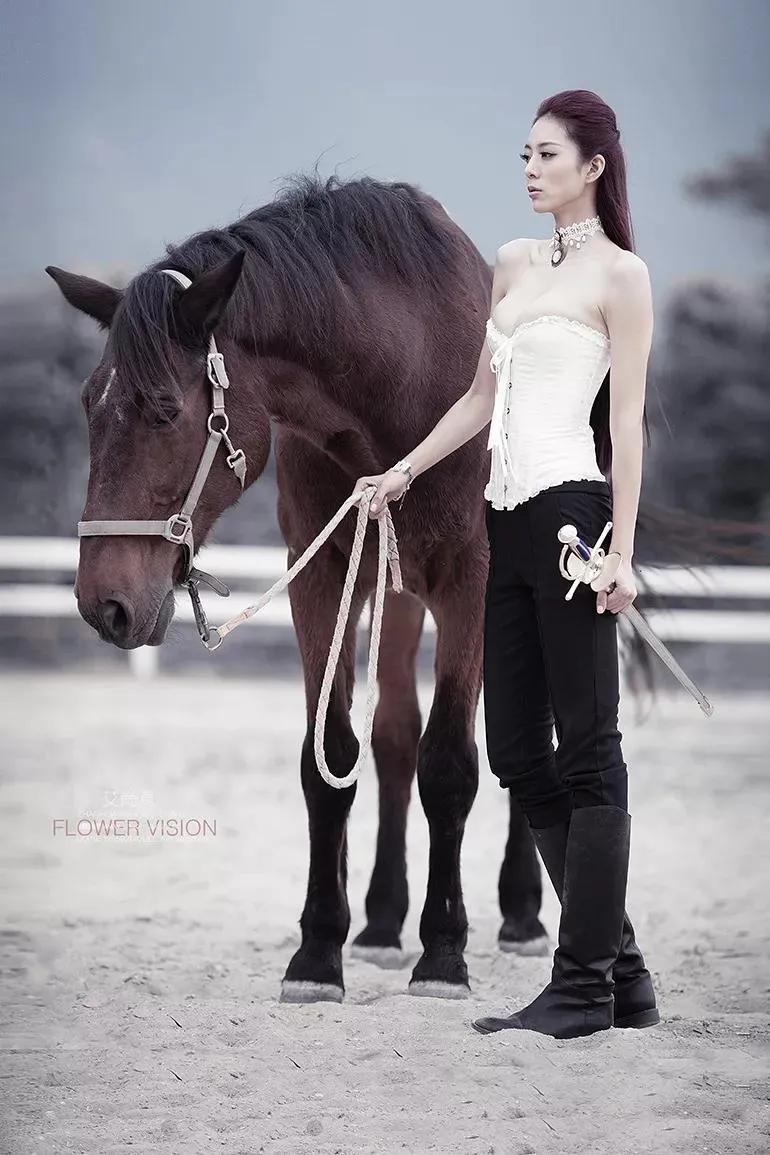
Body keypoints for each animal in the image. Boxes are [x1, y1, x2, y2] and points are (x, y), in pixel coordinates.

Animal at [45, 172, 742, 1003]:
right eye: (90, 405)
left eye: (165, 409)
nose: (103, 603)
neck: (399, 380)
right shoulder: (321, 575)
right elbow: (335, 756)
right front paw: (319, 951)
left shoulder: (475, 582)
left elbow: (450, 763)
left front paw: (443, 952)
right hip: (399, 594)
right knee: (393, 737)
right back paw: (381, 921)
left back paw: (521, 912)